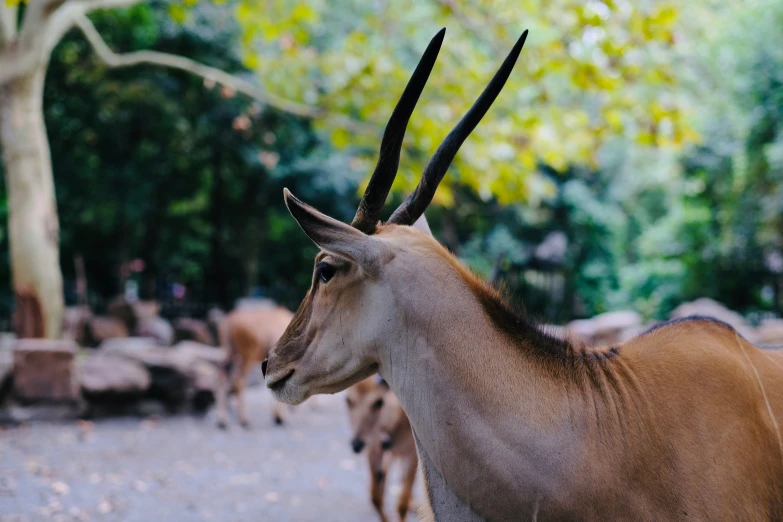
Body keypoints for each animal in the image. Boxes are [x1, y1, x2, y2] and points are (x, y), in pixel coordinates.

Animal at [348, 376, 420, 520]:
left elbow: (401, 504)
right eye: (348, 400)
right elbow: (376, 497)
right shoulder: (374, 451)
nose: (356, 444)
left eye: (379, 402)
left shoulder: (412, 453)